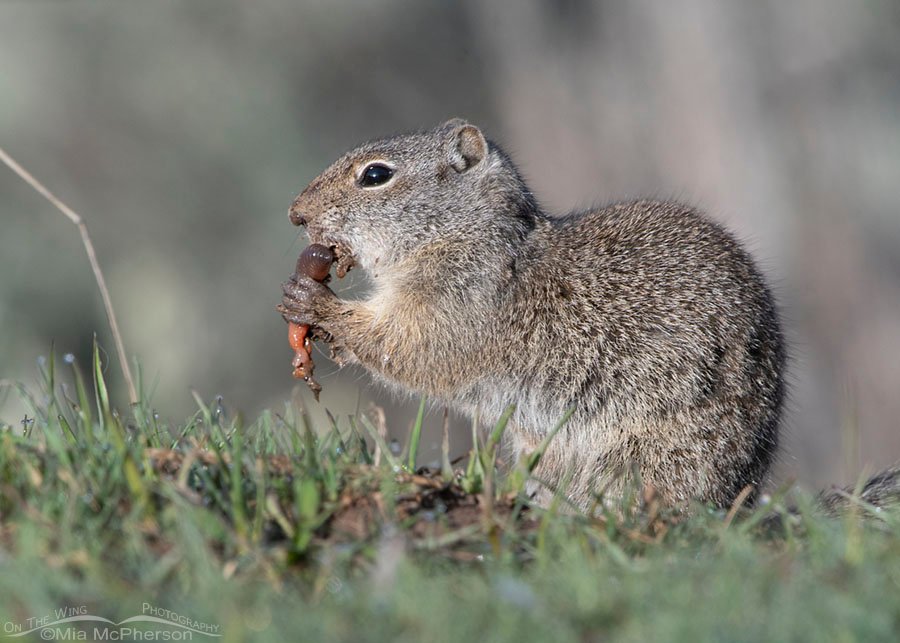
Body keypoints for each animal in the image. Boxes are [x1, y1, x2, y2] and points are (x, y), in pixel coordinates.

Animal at [279, 118, 898, 513]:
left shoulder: (460, 303)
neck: (468, 235)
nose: (295, 213)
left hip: (645, 459)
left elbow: (410, 349)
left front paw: (317, 305)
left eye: (375, 175)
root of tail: (737, 508)